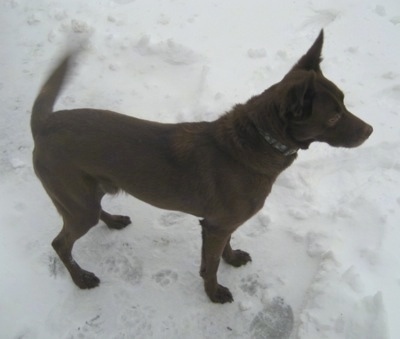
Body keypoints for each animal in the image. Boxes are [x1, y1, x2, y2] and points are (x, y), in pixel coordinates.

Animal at [30, 30, 372, 304]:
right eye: (333, 116)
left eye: (344, 102)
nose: (370, 130)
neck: (257, 140)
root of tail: (44, 124)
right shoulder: (215, 226)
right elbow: (210, 266)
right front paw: (214, 293)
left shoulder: (224, 224)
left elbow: (226, 248)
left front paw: (233, 258)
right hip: (76, 202)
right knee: (60, 243)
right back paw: (81, 278)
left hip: (88, 193)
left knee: (93, 211)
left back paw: (113, 221)